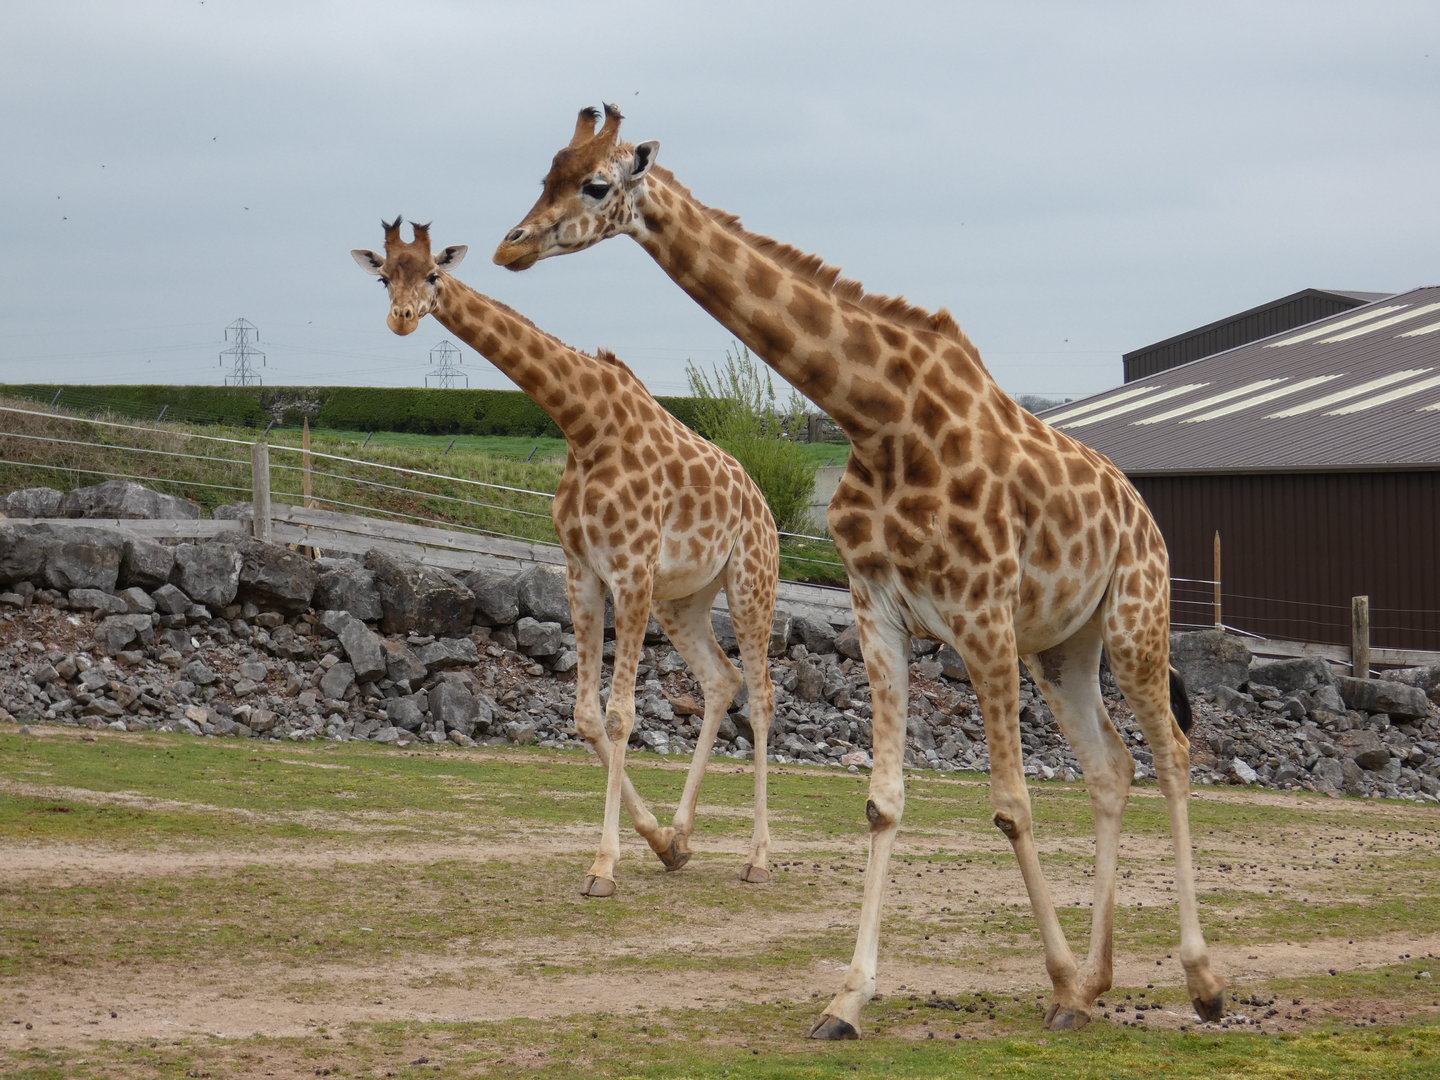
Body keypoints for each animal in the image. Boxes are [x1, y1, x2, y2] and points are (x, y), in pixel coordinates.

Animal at [354, 217, 778, 897]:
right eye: (384, 277)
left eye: (434, 274)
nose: (402, 318)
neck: (583, 425)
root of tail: (764, 505)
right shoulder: (583, 573)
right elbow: (584, 716)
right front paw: (658, 842)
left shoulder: (630, 570)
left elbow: (621, 715)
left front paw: (603, 866)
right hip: (683, 598)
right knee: (722, 679)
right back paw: (682, 838)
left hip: (749, 580)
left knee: (761, 694)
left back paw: (759, 858)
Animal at [492, 106, 1226, 1038]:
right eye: (544, 173)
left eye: (593, 184)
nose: (510, 245)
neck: (880, 417)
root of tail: (1143, 512)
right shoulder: (879, 607)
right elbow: (883, 801)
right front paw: (847, 998)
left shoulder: (982, 612)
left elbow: (1011, 804)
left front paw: (1054, 980)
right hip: (1063, 648)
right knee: (1112, 768)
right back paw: (1099, 984)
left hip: (1135, 617)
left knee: (1171, 753)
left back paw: (1199, 980)